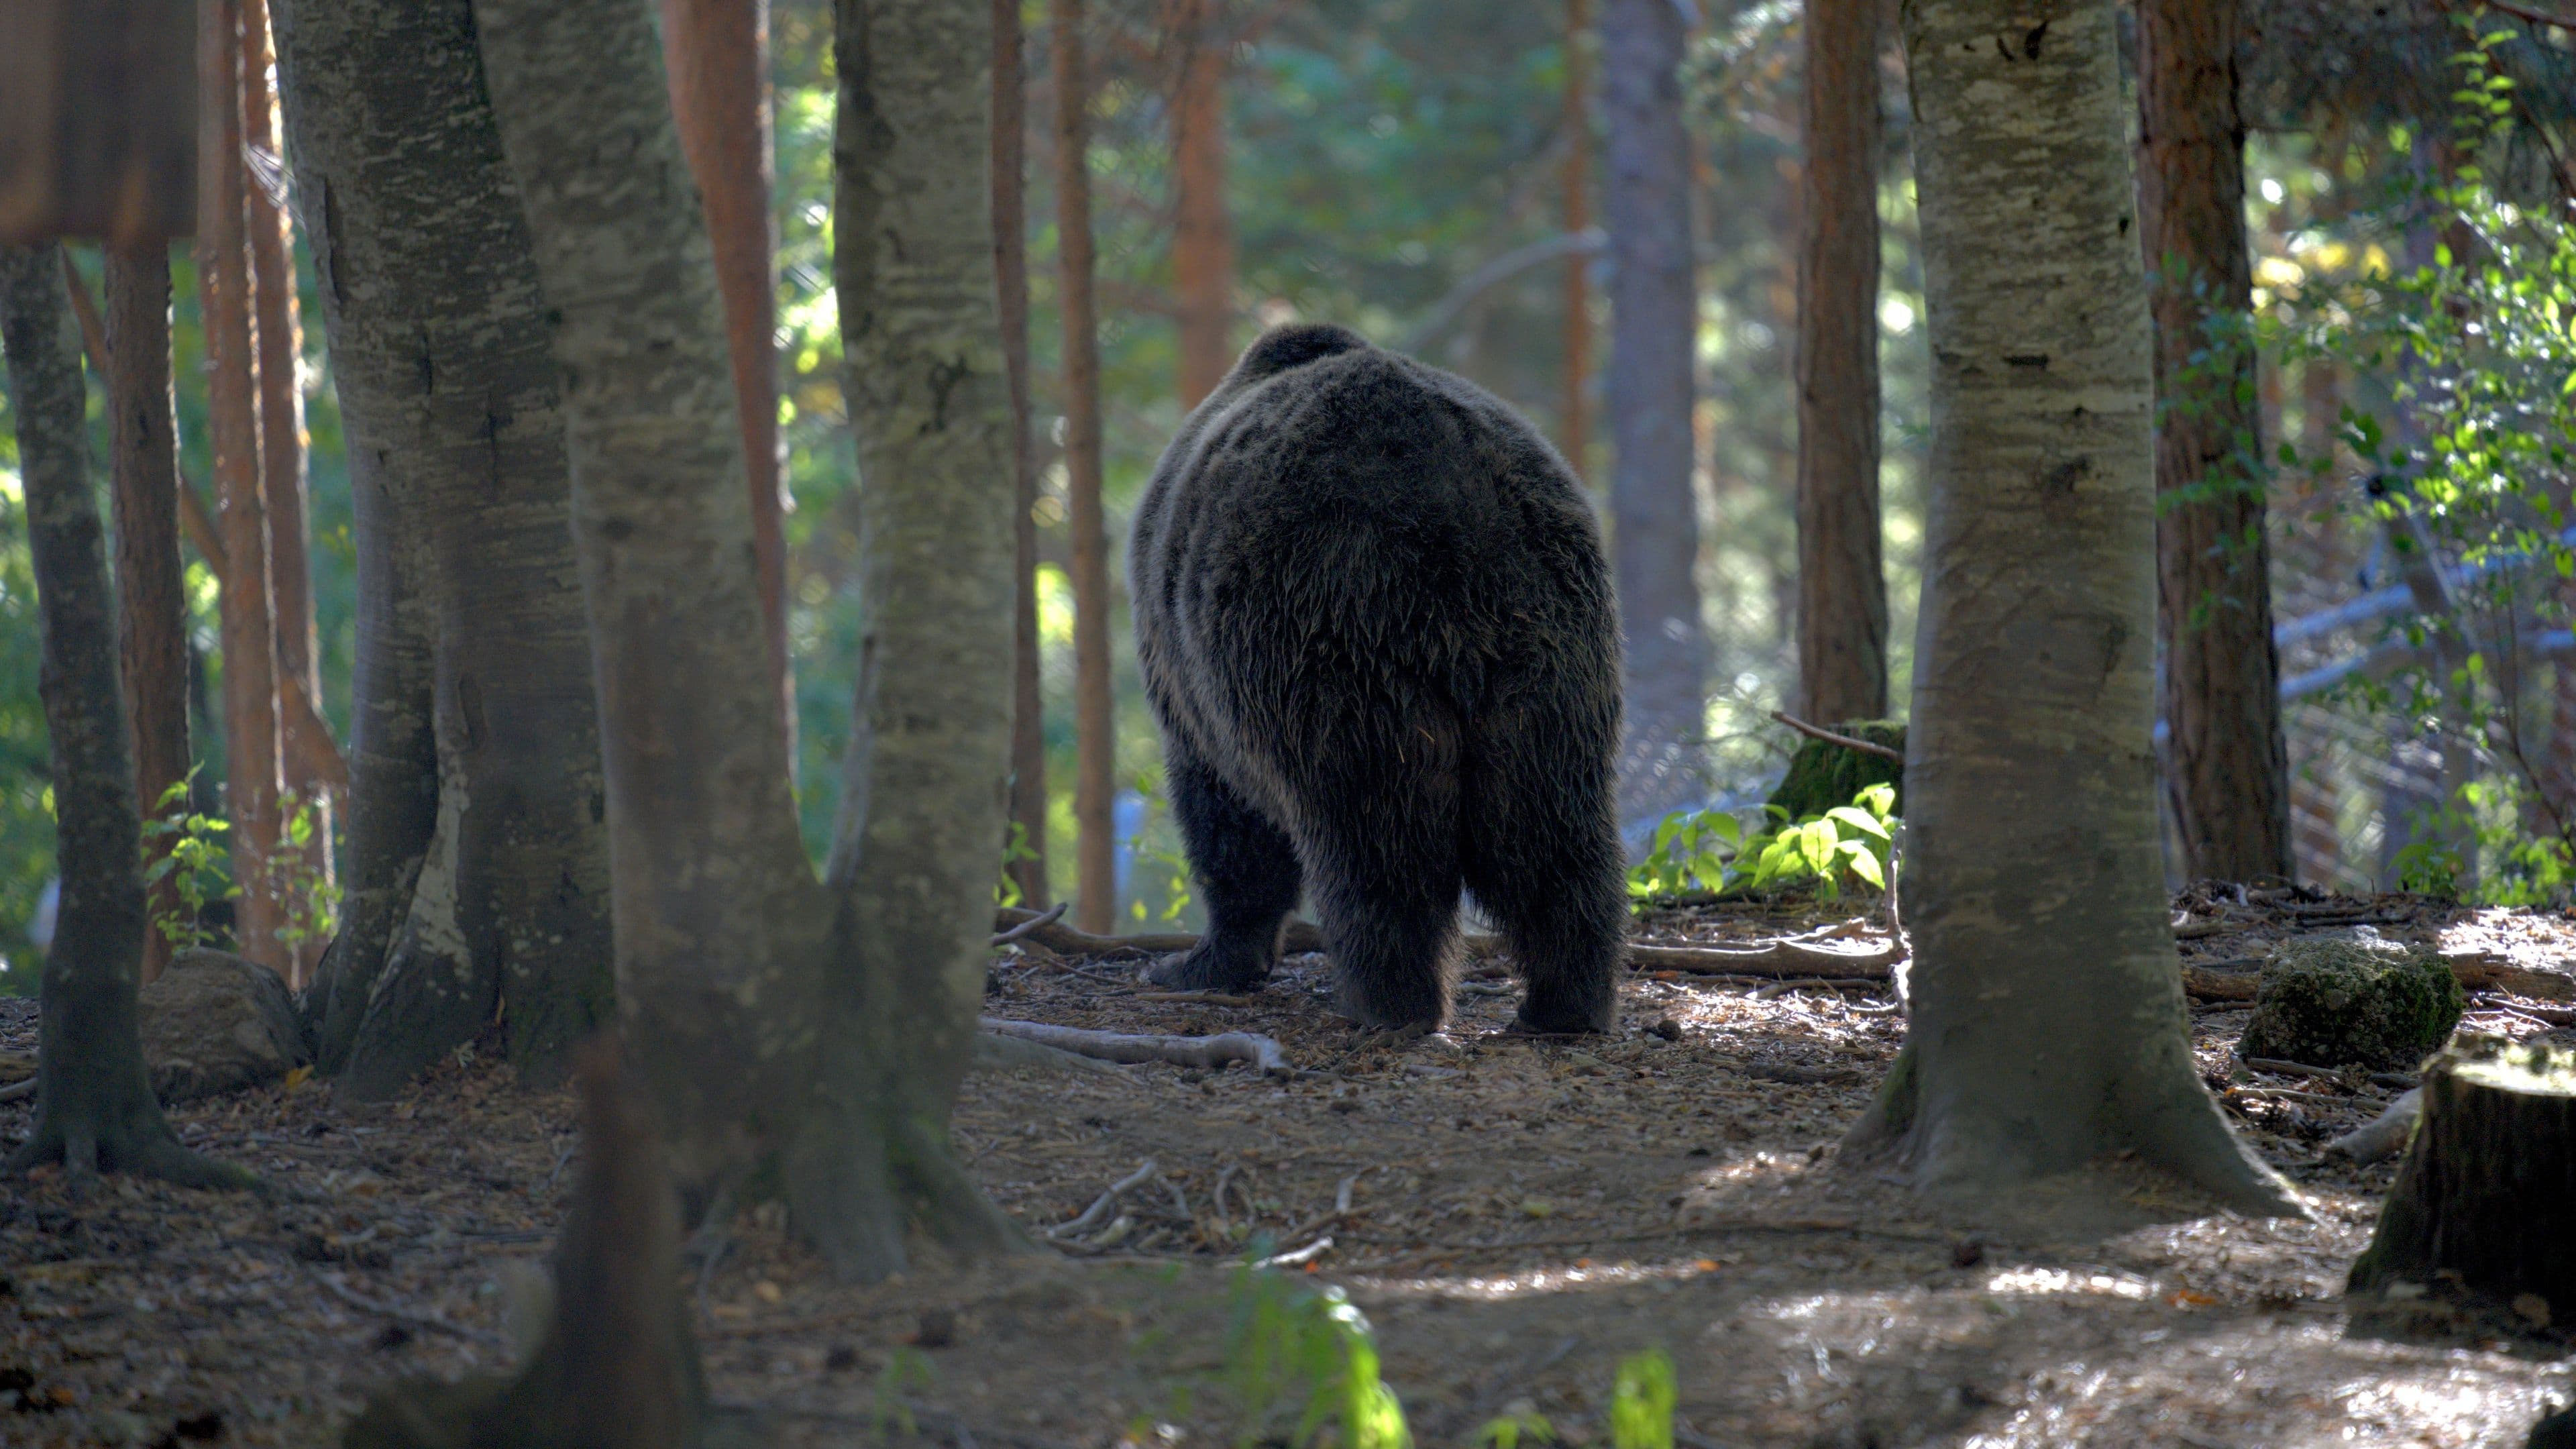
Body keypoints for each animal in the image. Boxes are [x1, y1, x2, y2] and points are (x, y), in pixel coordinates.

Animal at [1129, 322, 1628, 1034]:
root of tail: (1456, 509)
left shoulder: (1198, 697)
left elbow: (1231, 829)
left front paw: (1200, 961)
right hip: (1549, 650)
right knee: (1546, 831)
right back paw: (1564, 1002)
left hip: (1332, 637)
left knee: (1374, 835)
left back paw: (1387, 1001)